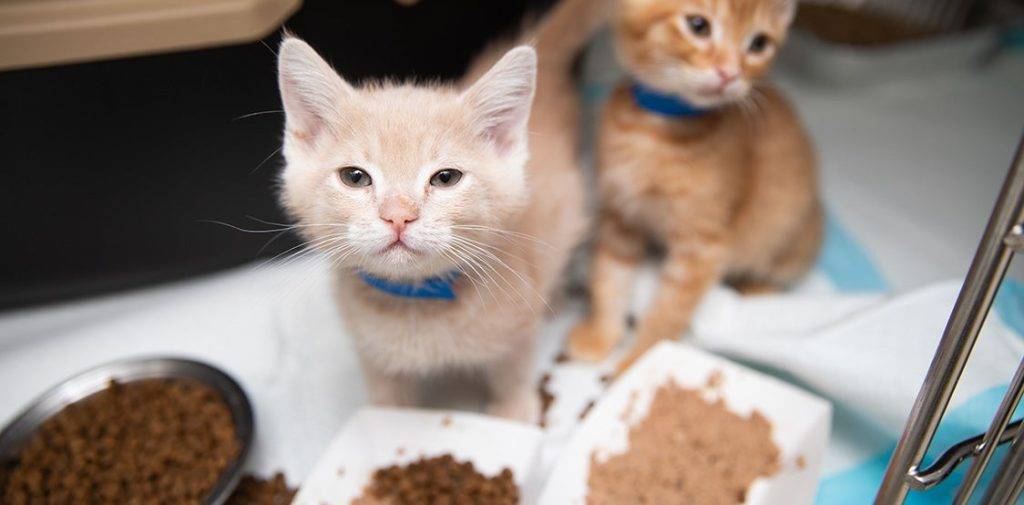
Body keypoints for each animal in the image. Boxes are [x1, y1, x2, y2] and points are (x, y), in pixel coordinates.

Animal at [276, 0, 602, 419]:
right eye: (355, 177)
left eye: (446, 178)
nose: (398, 215)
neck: (419, 303)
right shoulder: (372, 350)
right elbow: (386, 404)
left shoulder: (517, 327)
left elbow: (513, 370)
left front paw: (514, 412)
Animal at [569, 0, 823, 370]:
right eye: (698, 25)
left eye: (759, 44)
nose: (730, 72)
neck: (655, 130)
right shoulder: (620, 217)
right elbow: (609, 277)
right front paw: (600, 335)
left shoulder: (703, 247)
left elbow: (668, 311)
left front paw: (640, 363)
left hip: (791, 231)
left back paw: (756, 288)